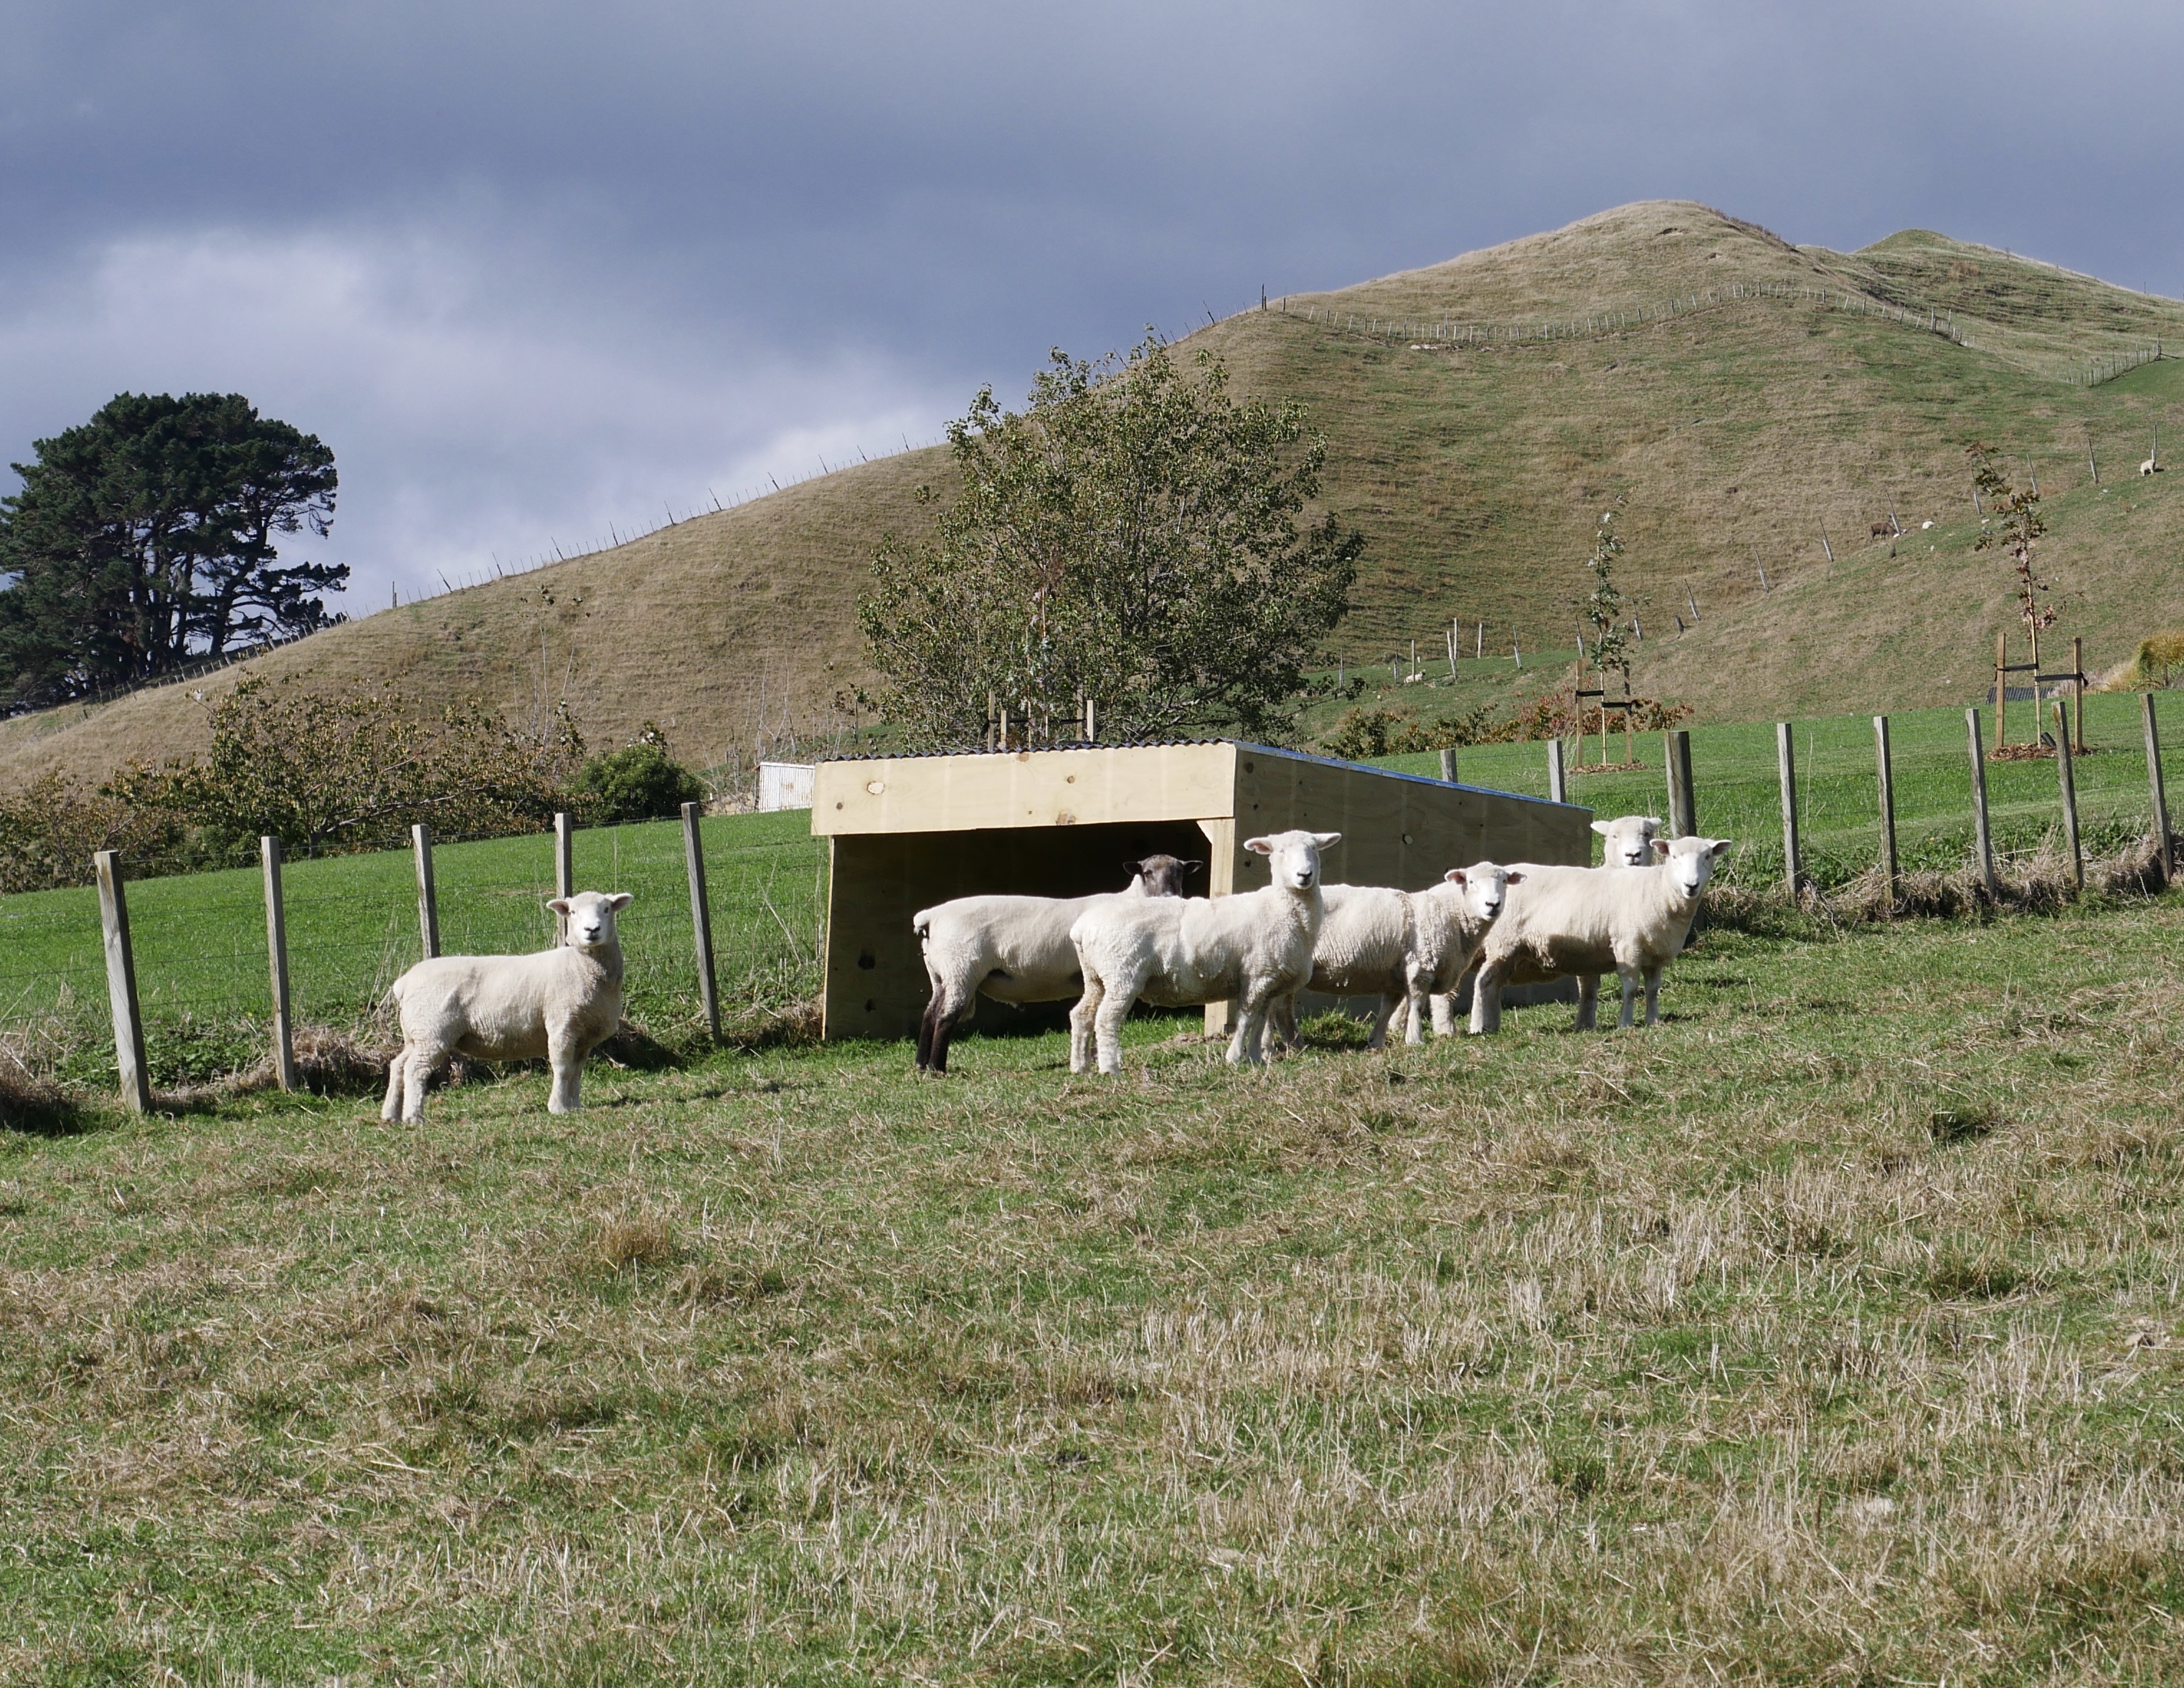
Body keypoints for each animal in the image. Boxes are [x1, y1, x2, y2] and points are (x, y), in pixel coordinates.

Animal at [381, 890, 632, 1124]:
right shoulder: (562, 1025)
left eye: (607, 909)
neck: (581, 966)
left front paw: (576, 1106)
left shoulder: (584, 1036)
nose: (592, 930)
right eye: (572, 912)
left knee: (399, 1065)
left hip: (417, 1033)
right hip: (433, 1030)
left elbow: (576, 1071)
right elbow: (562, 1067)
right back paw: (414, 1118)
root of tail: (405, 982)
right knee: (415, 1069)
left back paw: (391, 1115)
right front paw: (558, 1108)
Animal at [913, 854, 1199, 1073]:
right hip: (961, 968)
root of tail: (931, 916)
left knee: (930, 1014)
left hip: (940, 973)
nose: (1168, 896)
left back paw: (921, 1065)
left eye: (1180, 873)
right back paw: (937, 1069)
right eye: (1147, 873)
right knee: (945, 1017)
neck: (1131, 900)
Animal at [1069, 830, 1339, 1073]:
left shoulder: (1269, 982)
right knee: (1106, 1019)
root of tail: (1081, 928)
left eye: (1314, 849)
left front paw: (1255, 1059)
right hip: (1122, 973)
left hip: (1096, 976)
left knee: (1082, 1015)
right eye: (1281, 851)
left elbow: (1261, 1021)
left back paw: (1080, 1067)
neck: (1281, 908)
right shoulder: (1257, 976)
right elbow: (1246, 1019)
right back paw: (1110, 1069)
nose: (1304, 875)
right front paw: (1234, 1057)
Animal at [1271, 864, 1521, 1050]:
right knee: (1281, 1006)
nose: (1493, 905)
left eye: (1505, 881)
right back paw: (1293, 1044)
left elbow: (1388, 1009)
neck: (1451, 913)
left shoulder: (1396, 974)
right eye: (1471, 882)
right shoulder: (1421, 966)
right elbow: (1417, 1004)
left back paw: (1292, 1044)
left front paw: (1376, 1042)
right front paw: (1415, 1040)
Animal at [1467, 836, 1732, 1033]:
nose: (1691, 886)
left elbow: (1653, 989)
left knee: (1493, 985)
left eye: (1708, 856)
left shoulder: (1656, 954)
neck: (1659, 890)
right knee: (1484, 982)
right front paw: (1625, 1023)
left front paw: (1653, 1021)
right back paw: (1480, 1027)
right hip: (1503, 942)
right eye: (1674, 857)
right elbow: (1631, 988)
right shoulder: (1628, 946)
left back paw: (1493, 1024)